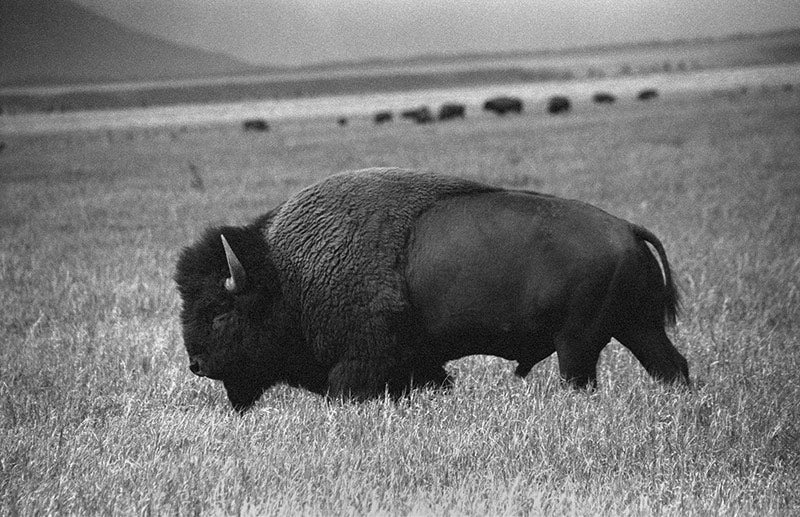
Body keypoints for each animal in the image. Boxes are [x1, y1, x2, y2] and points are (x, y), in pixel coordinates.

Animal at [175, 168, 689, 412]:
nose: (197, 365)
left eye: (219, 312)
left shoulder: (358, 363)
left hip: (578, 345)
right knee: (671, 366)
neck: (288, 272)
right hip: (637, 328)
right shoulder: (413, 364)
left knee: (584, 378)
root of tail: (626, 228)